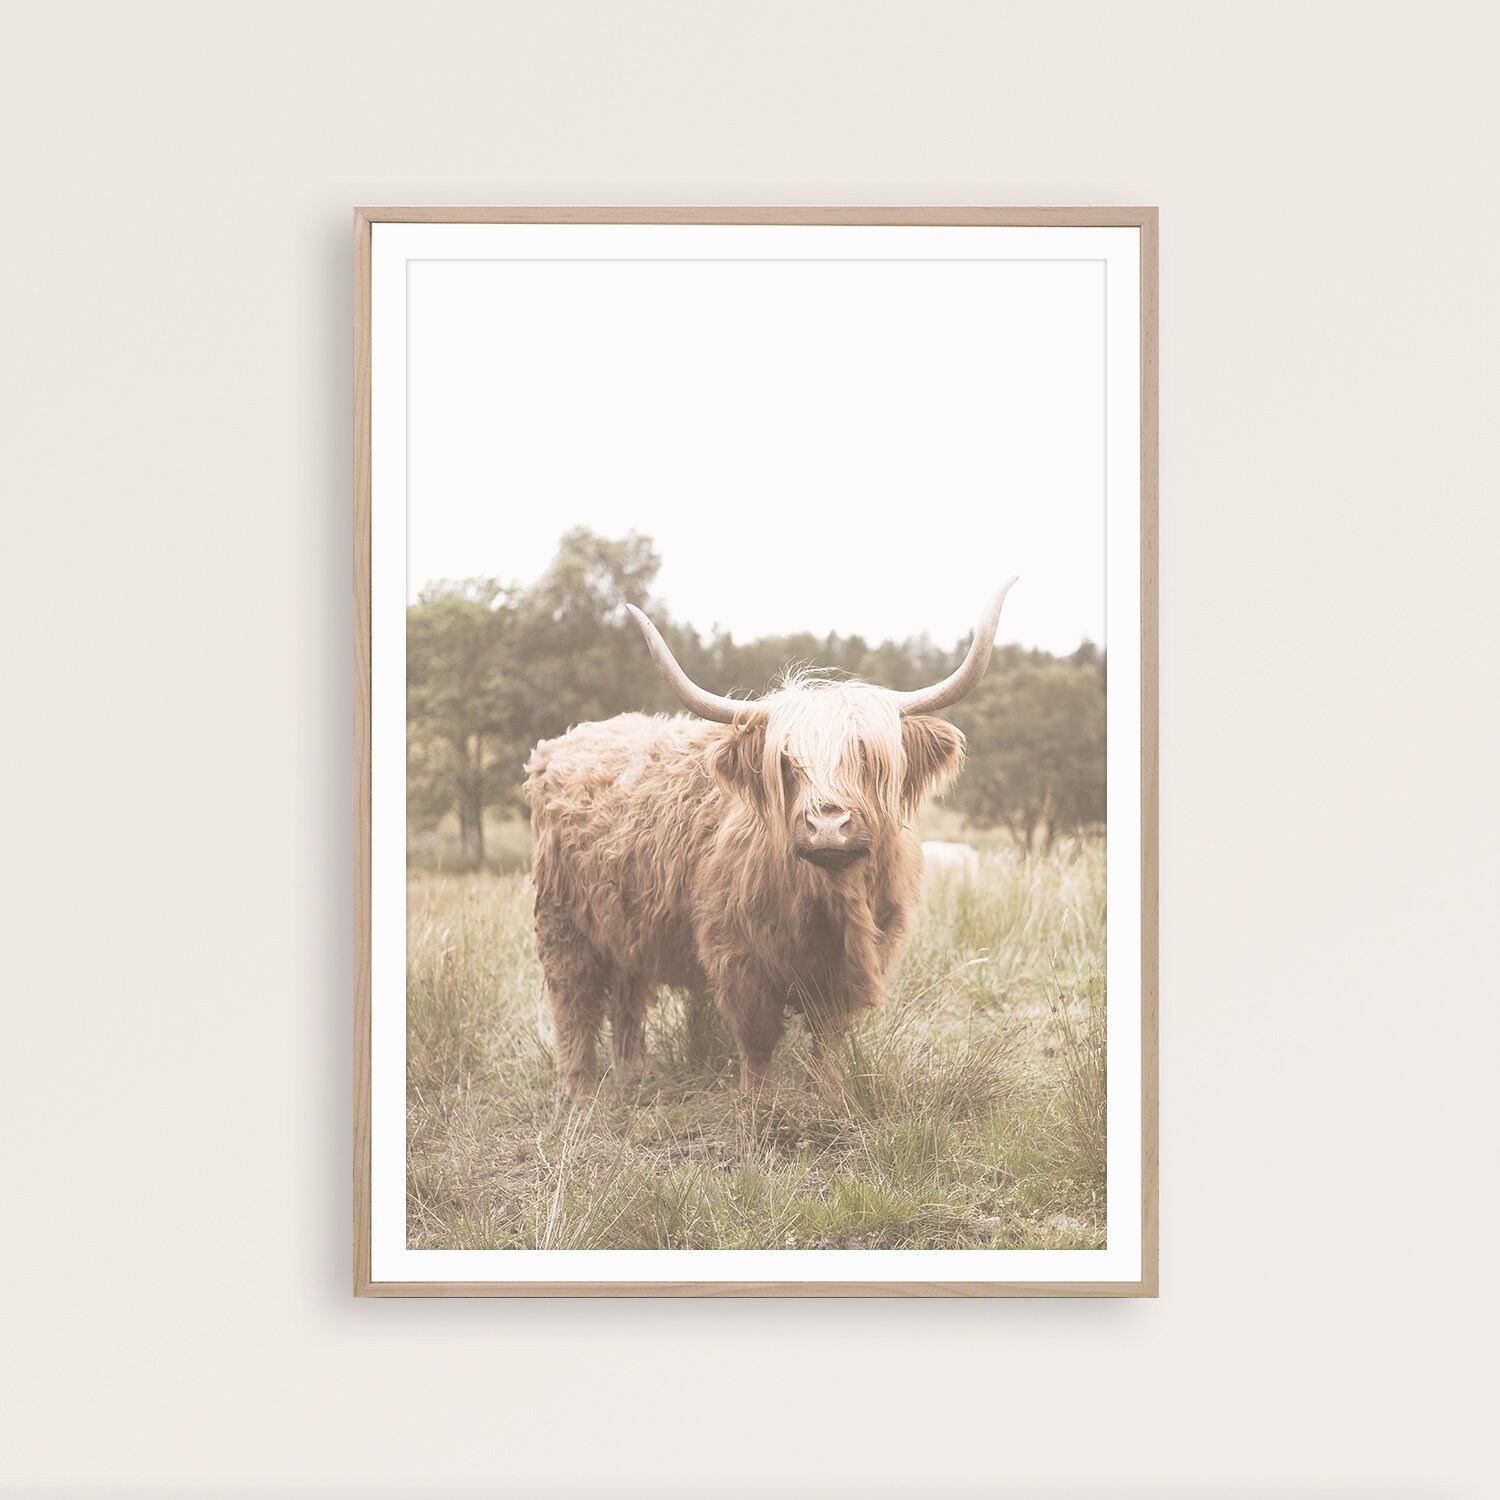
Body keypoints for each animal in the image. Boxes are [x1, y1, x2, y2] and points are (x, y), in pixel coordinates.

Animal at [523, 580, 1017, 1098]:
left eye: (865, 756)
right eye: (785, 761)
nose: (827, 826)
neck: (830, 901)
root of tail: (565, 741)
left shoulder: (848, 966)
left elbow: (826, 1038)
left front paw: (827, 1093)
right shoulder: (738, 958)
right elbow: (757, 1040)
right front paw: (760, 1103)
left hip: (626, 926)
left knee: (628, 998)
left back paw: (631, 1076)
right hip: (563, 923)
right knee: (573, 1003)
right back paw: (580, 1092)